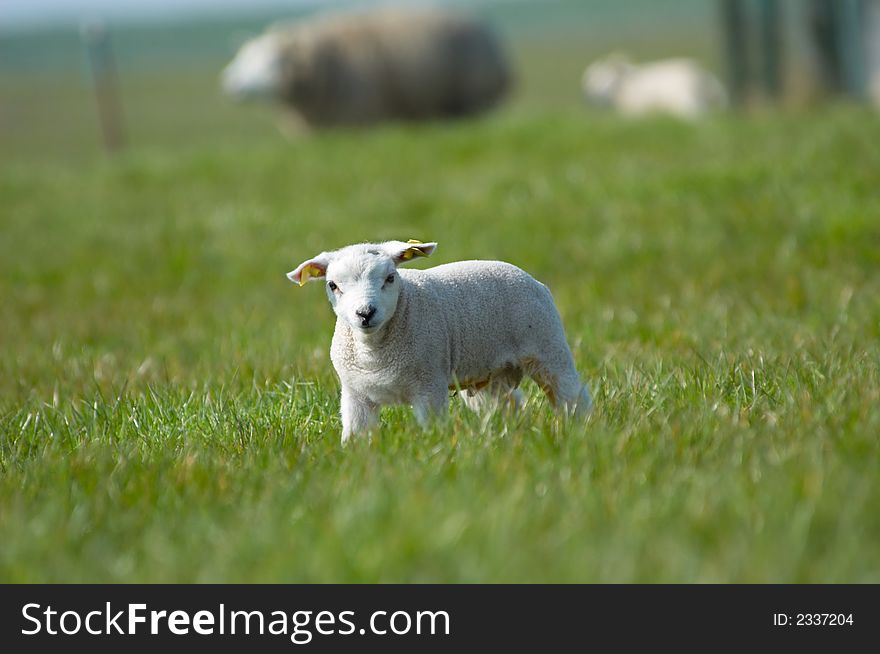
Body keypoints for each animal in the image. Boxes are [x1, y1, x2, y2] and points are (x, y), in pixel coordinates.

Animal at [288, 241, 592, 446]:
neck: (374, 353)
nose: (365, 313)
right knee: (508, 404)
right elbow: (357, 436)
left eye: (390, 278)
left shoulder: (429, 386)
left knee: (572, 394)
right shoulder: (355, 395)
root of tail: (533, 280)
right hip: (490, 373)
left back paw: (582, 429)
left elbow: (430, 429)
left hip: (547, 344)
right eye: (332, 285)